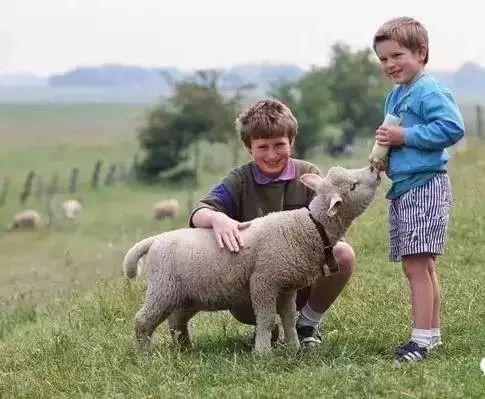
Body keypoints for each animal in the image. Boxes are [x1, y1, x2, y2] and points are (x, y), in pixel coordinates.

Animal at [123, 166, 380, 354]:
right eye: (353, 186)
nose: (374, 170)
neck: (309, 226)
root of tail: (155, 240)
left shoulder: (286, 286)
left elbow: (288, 318)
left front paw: (293, 347)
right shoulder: (264, 281)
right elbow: (266, 319)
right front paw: (263, 353)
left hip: (187, 296)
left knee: (176, 321)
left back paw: (185, 349)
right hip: (163, 288)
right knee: (143, 321)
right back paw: (145, 354)